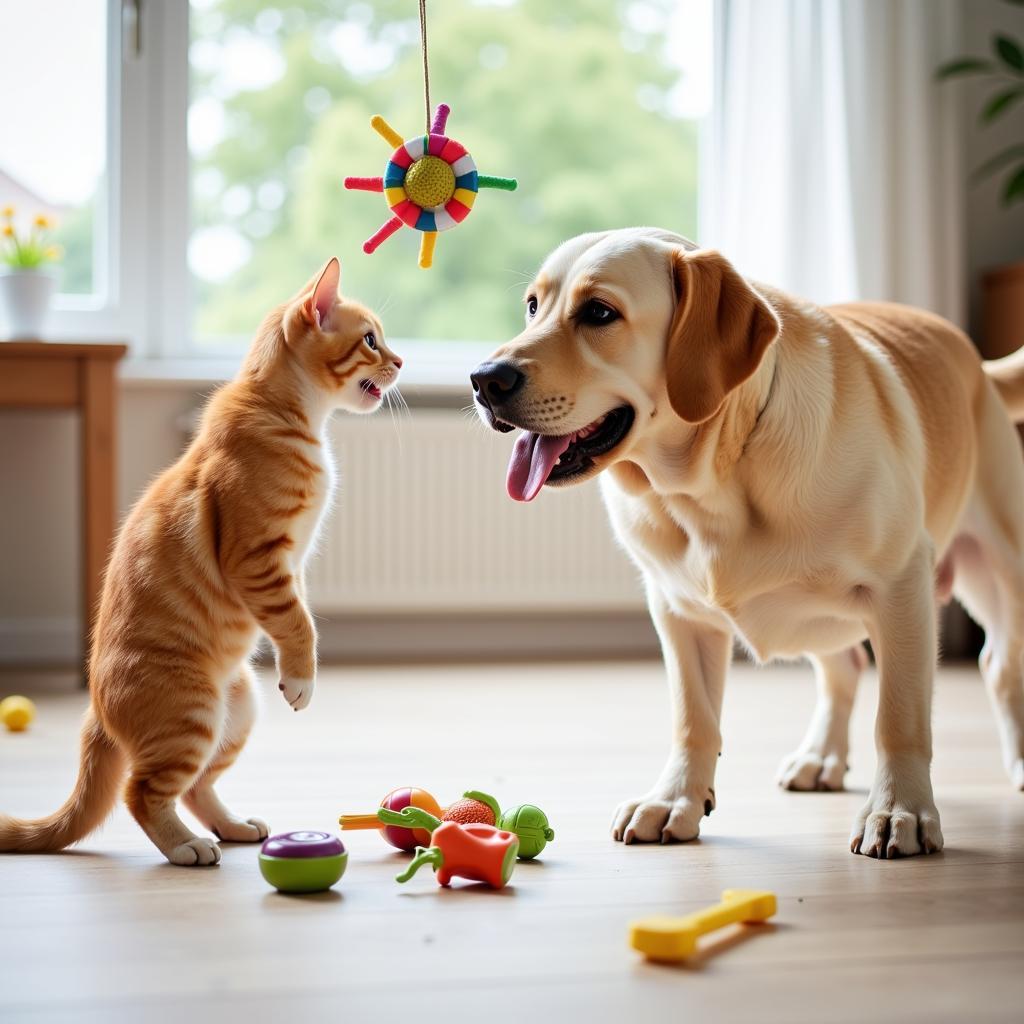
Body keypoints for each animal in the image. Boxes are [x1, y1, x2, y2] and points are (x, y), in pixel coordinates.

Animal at [1, 256, 403, 864]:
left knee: (196, 786)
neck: (292, 415)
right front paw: (302, 676)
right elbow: (298, 623)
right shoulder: (257, 557)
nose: (400, 362)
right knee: (143, 791)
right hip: (191, 714)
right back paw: (185, 847)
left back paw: (231, 826)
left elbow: (300, 616)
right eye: (371, 340)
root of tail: (96, 715)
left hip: (237, 709)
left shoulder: (293, 566)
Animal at [471, 226, 1024, 856]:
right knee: (844, 668)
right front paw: (675, 799)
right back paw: (820, 756)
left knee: (999, 668)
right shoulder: (677, 610)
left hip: (1000, 569)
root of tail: (978, 364)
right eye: (532, 306)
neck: (714, 482)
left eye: (599, 312)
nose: (484, 379)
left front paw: (898, 810)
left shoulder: (900, 586)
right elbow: (694, 718)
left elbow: (899, 718)